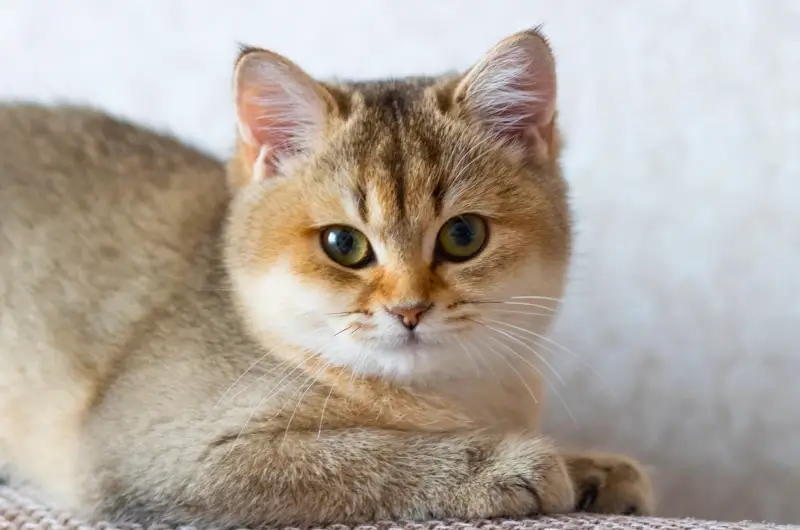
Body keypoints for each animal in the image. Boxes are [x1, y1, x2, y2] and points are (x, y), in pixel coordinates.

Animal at [0, 27, 648, 524]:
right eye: (344, 245)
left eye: (463, 237)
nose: (409, 310)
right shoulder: (157, 454)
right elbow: (360, 455)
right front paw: (514, 464)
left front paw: (593, 468)